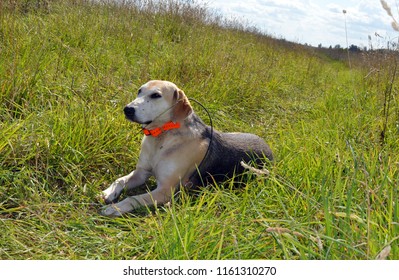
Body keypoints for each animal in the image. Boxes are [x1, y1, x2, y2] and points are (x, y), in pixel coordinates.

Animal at [101, 80, 274, 217]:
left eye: (156, 95)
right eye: (139, 91)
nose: (127, 109)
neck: (161, 136)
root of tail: (269, 150)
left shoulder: (165, 190)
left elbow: (133, 198)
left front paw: (116, 208)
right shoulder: (141, 173)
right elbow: (120, 180)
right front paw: (109, 191)